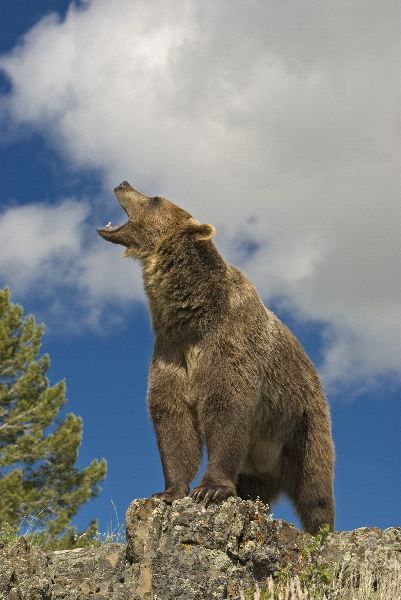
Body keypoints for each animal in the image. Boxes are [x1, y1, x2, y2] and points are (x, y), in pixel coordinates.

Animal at [97, 182, 334, 536]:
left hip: (301, 420)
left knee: (315, 482)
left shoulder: (228, 346)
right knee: (255, 486)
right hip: (259, 461)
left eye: (155, 198)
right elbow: (173, 420)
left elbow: (226, 409)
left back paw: (322, 529)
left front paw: (210, 489)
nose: (123, 184)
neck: (191, 313)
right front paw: (168, 491)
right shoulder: (172, 352)